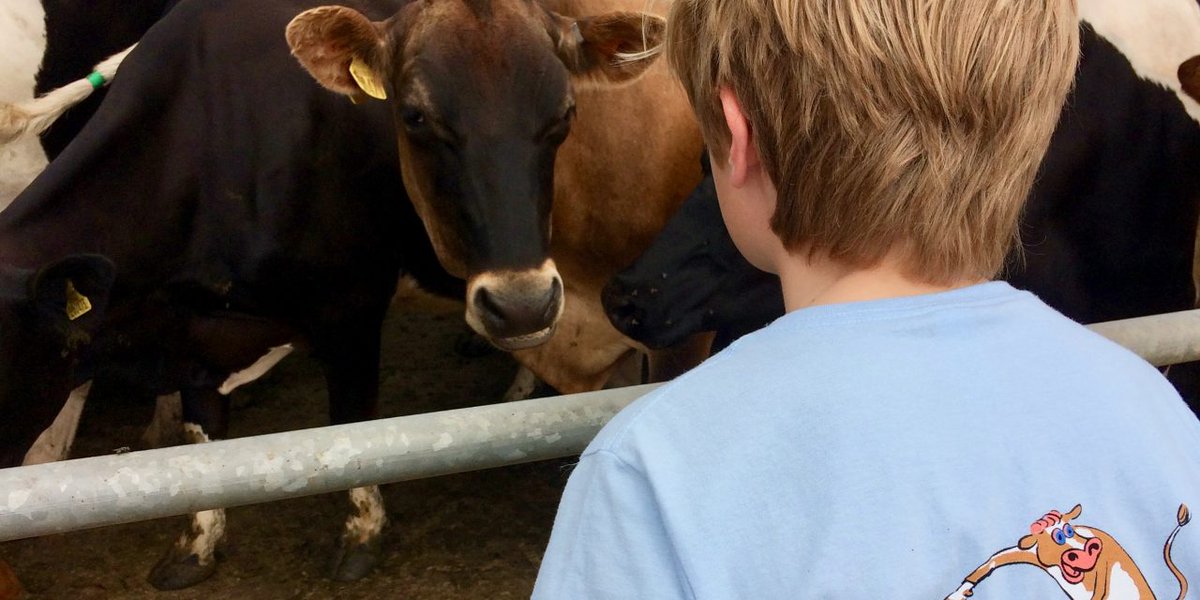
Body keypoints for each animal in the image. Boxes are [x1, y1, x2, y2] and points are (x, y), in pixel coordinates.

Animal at [0, 0, 699, 590]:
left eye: (566, 115)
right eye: (412, 117)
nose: (524, 302)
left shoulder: (351, 309)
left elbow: (352, 429)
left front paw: (362, 535)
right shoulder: (200, 332)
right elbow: (204, 439)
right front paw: (196, 544)